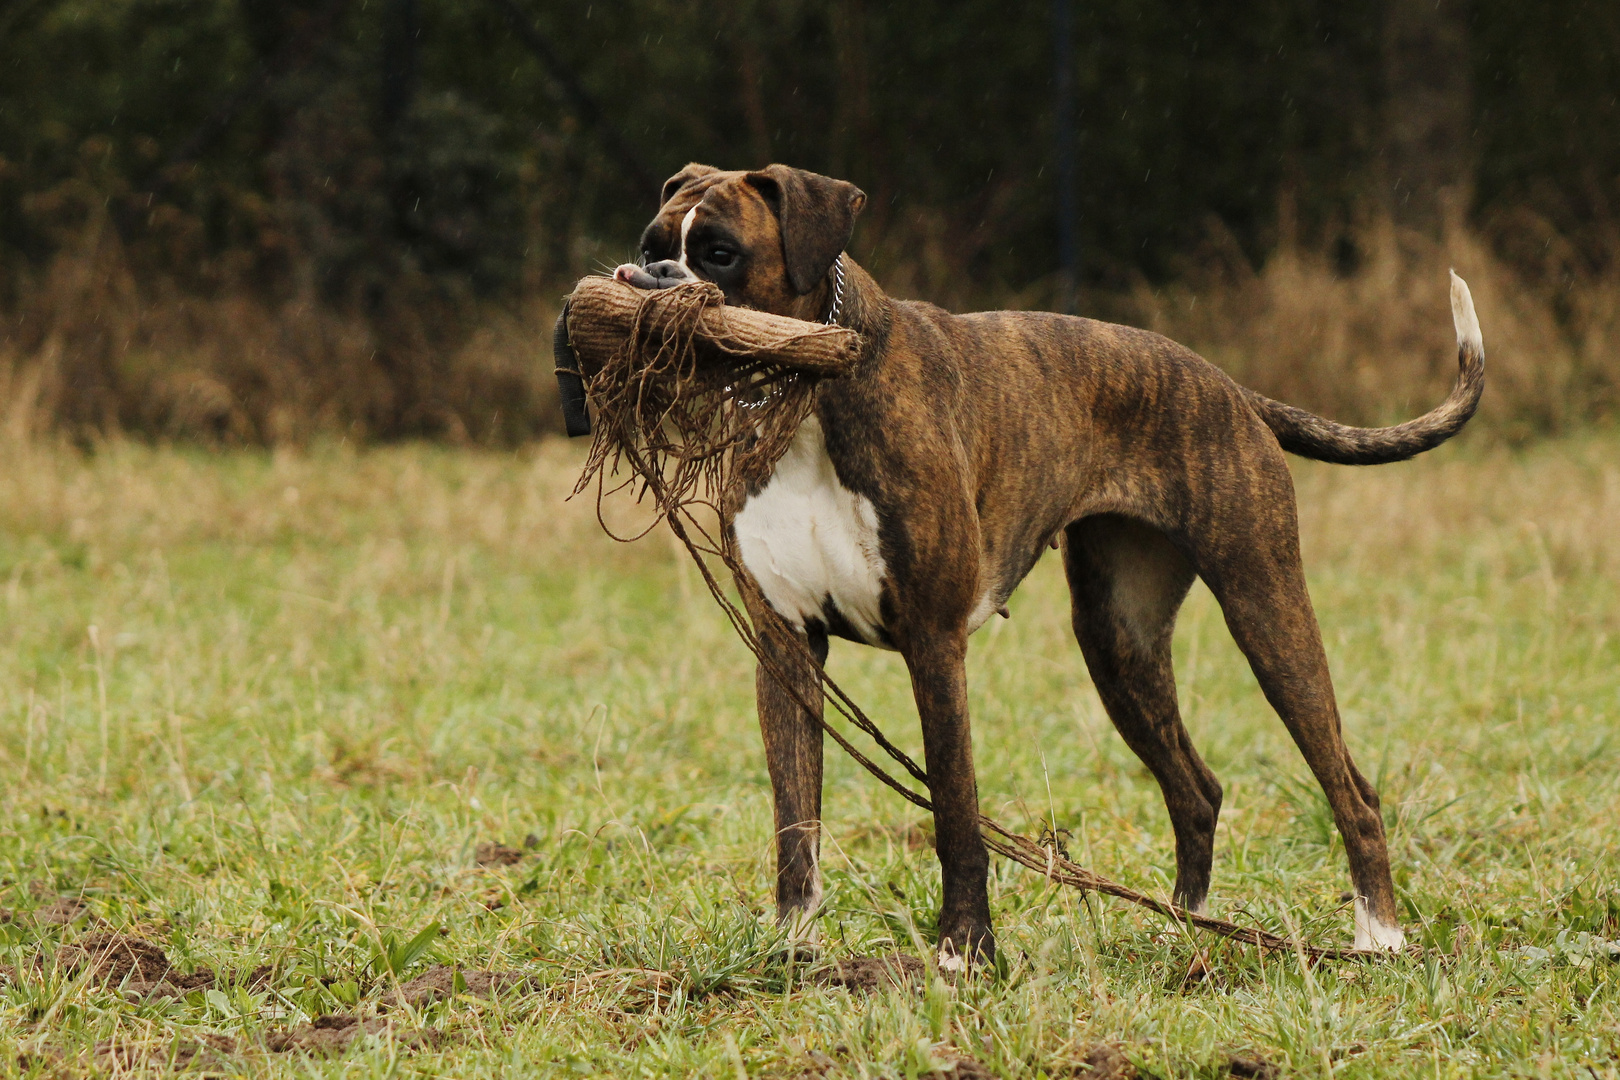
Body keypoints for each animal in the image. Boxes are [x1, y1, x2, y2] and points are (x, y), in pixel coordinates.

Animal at [609, 162, 1483, 971]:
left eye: (719, 254)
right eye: (650, 247)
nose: (649, 279)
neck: (807, 401)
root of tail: (1230, 387)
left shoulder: (934, 645)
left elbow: (955, 812)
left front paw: (964, 950)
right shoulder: (786, 650)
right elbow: (797, 821)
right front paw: (791, 949)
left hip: (1265, 610)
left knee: (1351, 789)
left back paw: (1379, 938)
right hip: (1119, 643)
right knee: (1196, 790)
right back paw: (1188, 930)